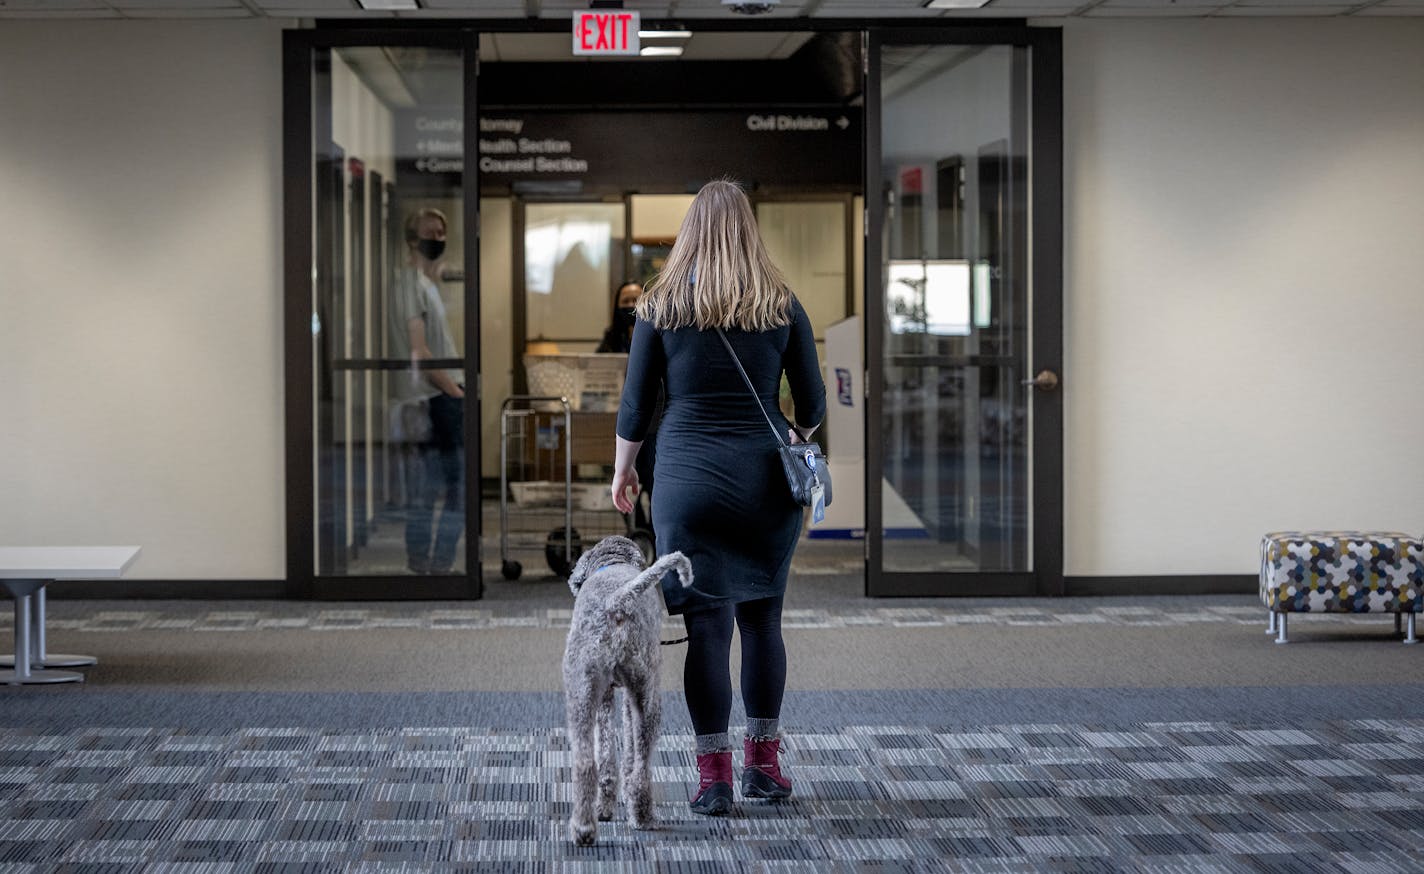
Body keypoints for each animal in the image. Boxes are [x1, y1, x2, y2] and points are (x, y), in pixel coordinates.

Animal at [558, 538, 692, 848]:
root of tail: (614, 602)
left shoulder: (606, 695)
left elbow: (608, 757)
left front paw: (605, 808)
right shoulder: (628, 697)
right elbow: (629, 750)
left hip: (581, 695)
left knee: (586, 762)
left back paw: (583, 828)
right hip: (647, 697)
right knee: (641, 764)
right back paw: (642, 815)